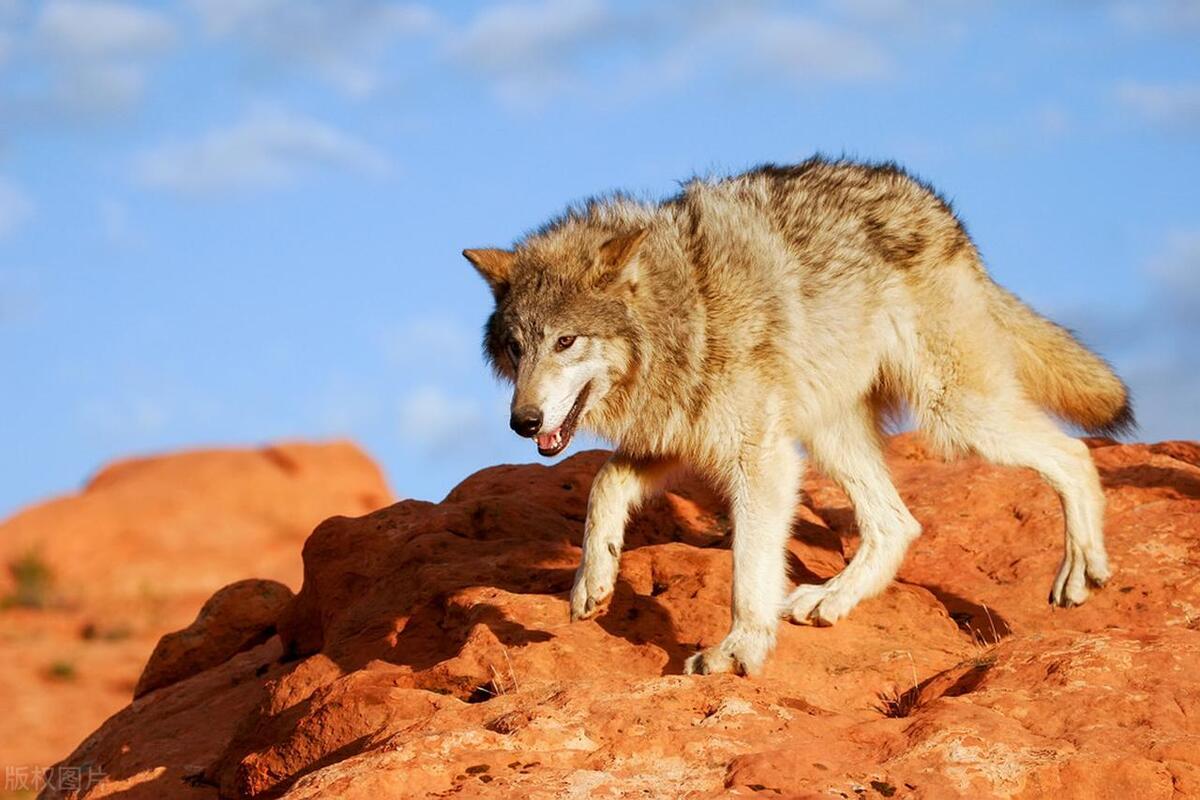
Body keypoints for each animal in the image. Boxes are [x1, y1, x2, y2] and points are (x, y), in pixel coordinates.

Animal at [460, 155, 1132, 676]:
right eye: (516, 347)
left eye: (565, 342)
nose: (523, 422)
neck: (686, 309)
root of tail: (941, 211)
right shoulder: (680, 437)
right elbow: (604, 485)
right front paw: (591, 583)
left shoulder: (759, 458)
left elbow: (748, 571)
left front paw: (738, 650)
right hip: (832, 436)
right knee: (898, 524)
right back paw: (830, 600)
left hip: (954, 414)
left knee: (1074, 454)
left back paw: (1082, 569)